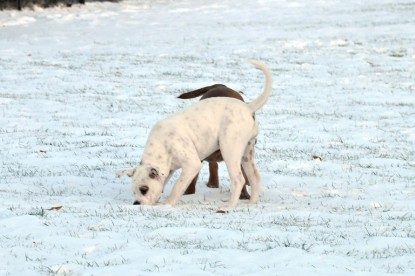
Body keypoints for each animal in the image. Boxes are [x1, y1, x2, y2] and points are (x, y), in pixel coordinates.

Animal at [118, 59, 272, 209]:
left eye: (144, 189)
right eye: (134, 191)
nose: (136, 203)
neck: (163, 146)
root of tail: (247, 107)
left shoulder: (192, 165)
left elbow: (178, 186)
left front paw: (168, 203)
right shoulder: (170, 169)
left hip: (230, 150)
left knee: (239, 180)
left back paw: (229, 207)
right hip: (247, 154)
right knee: (255, 178)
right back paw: (251, 203)